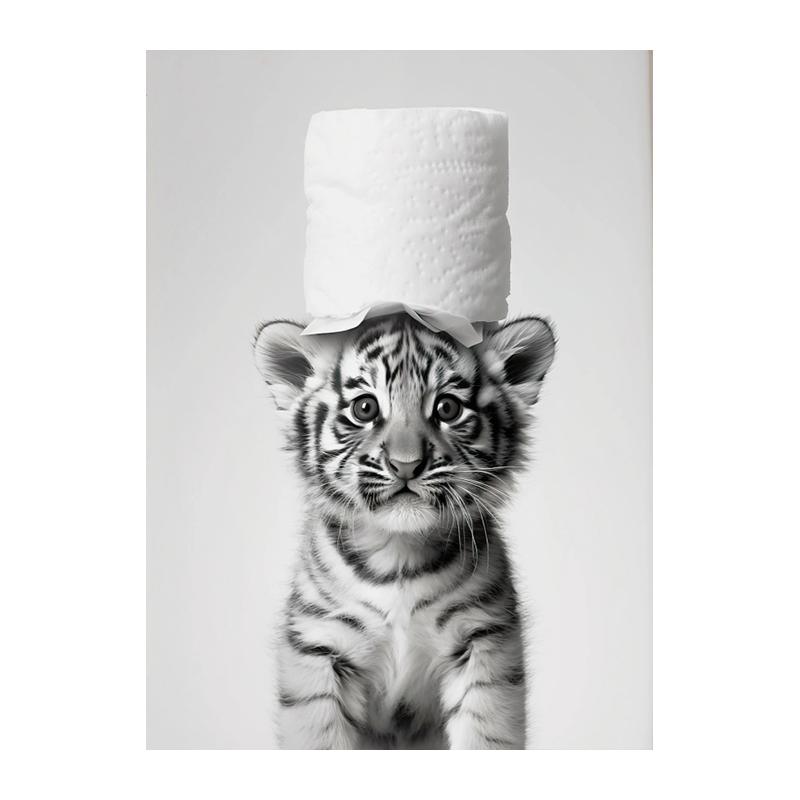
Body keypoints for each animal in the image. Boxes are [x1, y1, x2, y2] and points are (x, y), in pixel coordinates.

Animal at [253, 312, 555, 749]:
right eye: (365, 408)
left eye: (447, 408)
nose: (406, 464)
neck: (398, 554)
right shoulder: (319, 647)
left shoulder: (484, 643)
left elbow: (485, 736)